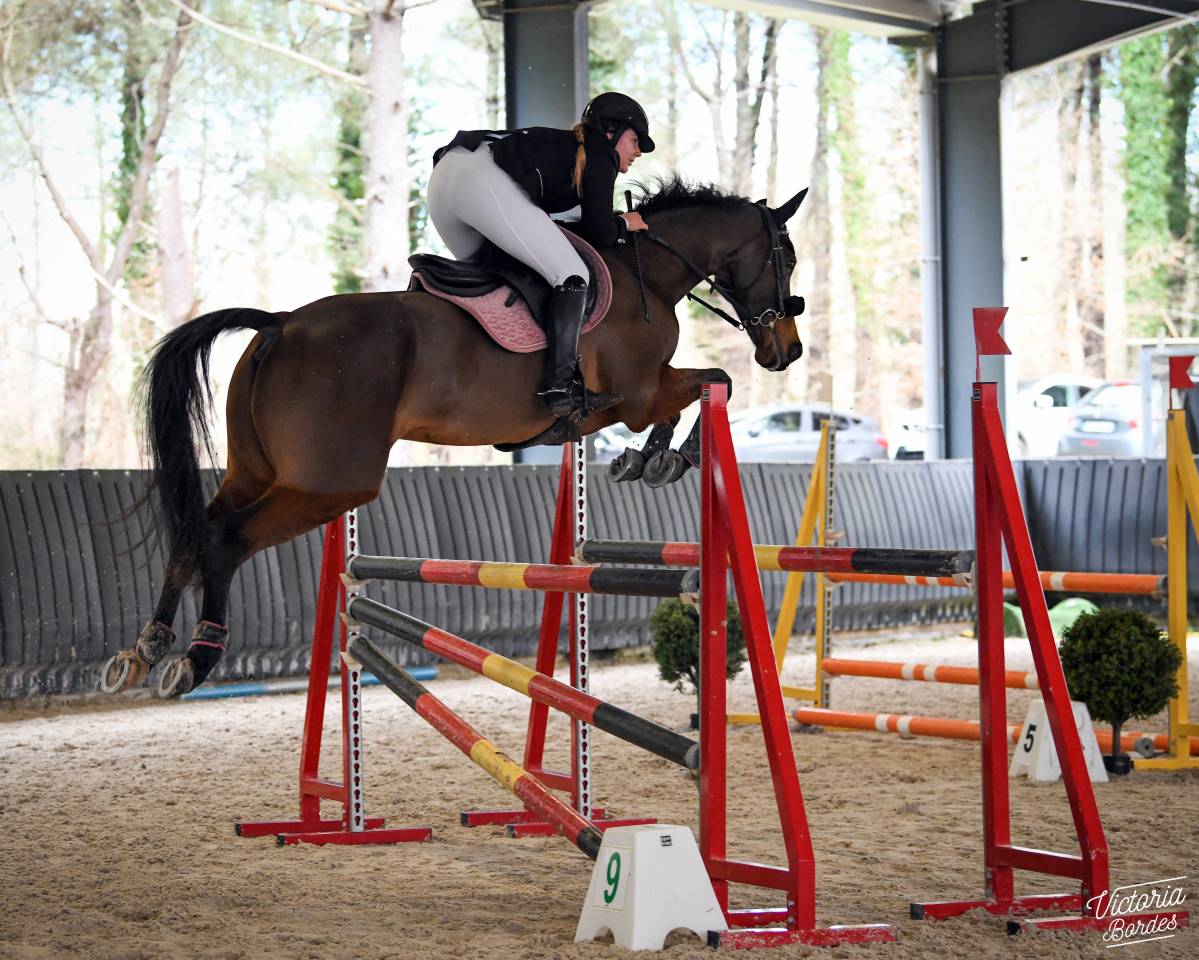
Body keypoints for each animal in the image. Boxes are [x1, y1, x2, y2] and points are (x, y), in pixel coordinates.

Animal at [99, 178, 807, 698]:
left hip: (259, 472)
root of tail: (280, 323)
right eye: (788, 257)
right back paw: (197, 656)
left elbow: (703, 384)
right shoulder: (636, 395)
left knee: (195, 525)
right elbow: (710, 381)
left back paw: (146, 647)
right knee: (225, 537)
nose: (787, 351)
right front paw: (665, 456)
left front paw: (653, 458)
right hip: (327, 486)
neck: (646, 273)